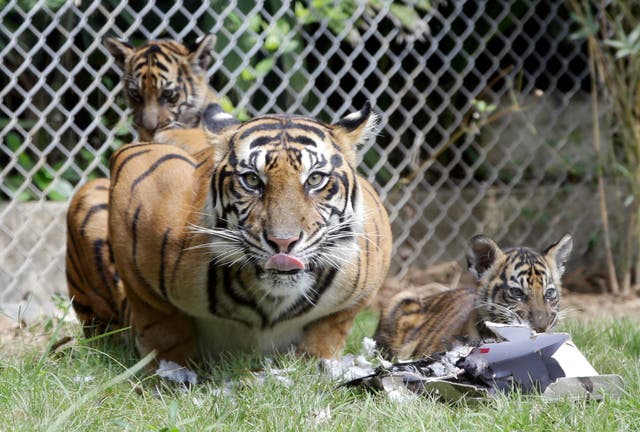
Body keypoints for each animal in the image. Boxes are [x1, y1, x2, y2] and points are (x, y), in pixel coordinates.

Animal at [67, 103, 392, 366]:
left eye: (314, 180)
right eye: (252, 180)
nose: (283, 242)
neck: (270, 304)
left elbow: (330, 329)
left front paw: (317, 366)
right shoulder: (136, 175)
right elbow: (162, 325)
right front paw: (171, 375)